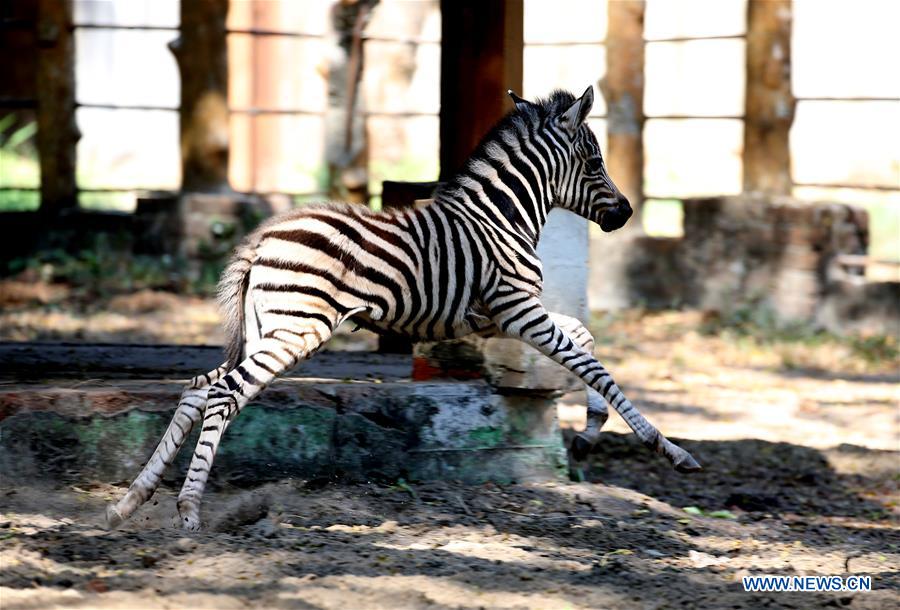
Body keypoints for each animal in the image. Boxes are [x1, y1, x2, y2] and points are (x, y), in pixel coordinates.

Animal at [106, 86, 700, 531]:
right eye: (595, 162)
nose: (626, 213)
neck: (500, 217)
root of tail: (262, 237)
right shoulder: (516, 311)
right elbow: (593, 365)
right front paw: (667, 449)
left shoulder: (506, 317)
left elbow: (586, 341)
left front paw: (588, 432)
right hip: (295, 332)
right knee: (223, 394)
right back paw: (187, 508)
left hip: (265, 331)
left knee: (198, 388)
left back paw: (132, 499)